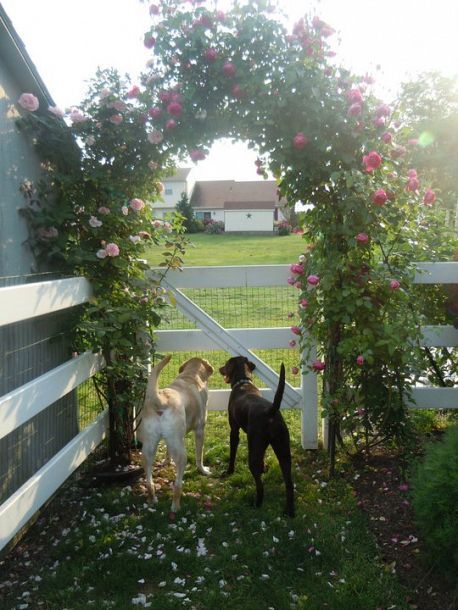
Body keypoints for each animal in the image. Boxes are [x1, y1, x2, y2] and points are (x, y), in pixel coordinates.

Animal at [139, 354, 214, 510]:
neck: (191, 375)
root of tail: (160, 400)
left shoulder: (171, 440)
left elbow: (167, 452)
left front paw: (167, 462)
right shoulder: (200, 430)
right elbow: (199, 456)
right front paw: (203, 470)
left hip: (149, 449)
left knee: (149, 480)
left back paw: (152, 499)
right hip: (181, 452)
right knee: (178, 483)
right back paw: (175, 505)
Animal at [220, 354, 296, 516]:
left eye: (226, 364)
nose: (219, 368)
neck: (243, 382)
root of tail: (270, 411)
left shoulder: (234, 430)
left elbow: (232, 454)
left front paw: (229, 471)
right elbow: (263, 457)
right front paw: (264, 467)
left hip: (254, 452)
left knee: (260, 485)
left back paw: (257, 503)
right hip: (284, 450)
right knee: (289, 483)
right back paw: (289, 511)